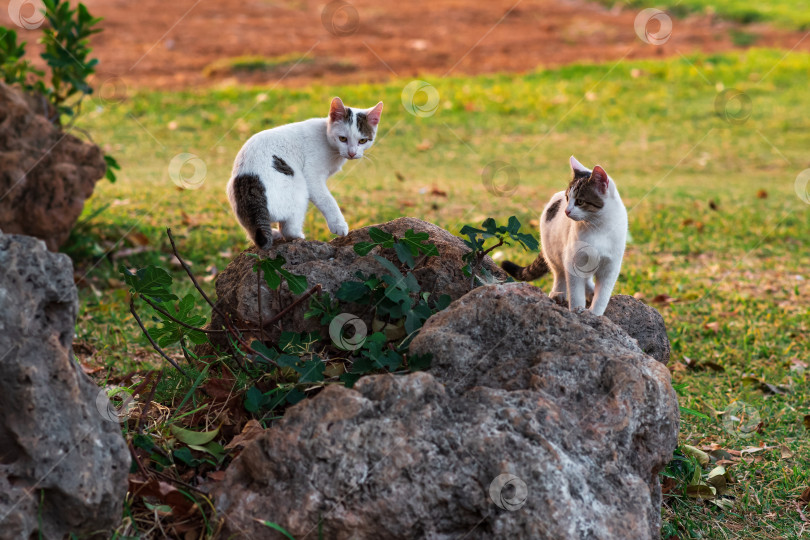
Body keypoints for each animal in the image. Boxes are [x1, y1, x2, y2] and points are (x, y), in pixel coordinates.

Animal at [224, 97, 382, 249]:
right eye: (342, 138)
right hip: (299, 188)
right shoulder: (312, 177)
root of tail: (250, 185)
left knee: (254, 232)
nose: (352, 153)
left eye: (363, 141)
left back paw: (273, 234)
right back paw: (297, 236)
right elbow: (327, 200)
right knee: (288, 230)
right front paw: (339, 224)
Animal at [502, 156, 628, 316]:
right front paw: (577, 309)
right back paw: (558, 293)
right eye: (568, 198)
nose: (566, 211)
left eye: (580, 201)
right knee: (559, 273)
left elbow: (603, 295)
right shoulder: (573, 259)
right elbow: (575, 290)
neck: (598, 227)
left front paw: (595, 313)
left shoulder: (611, 266)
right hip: (552, 251)